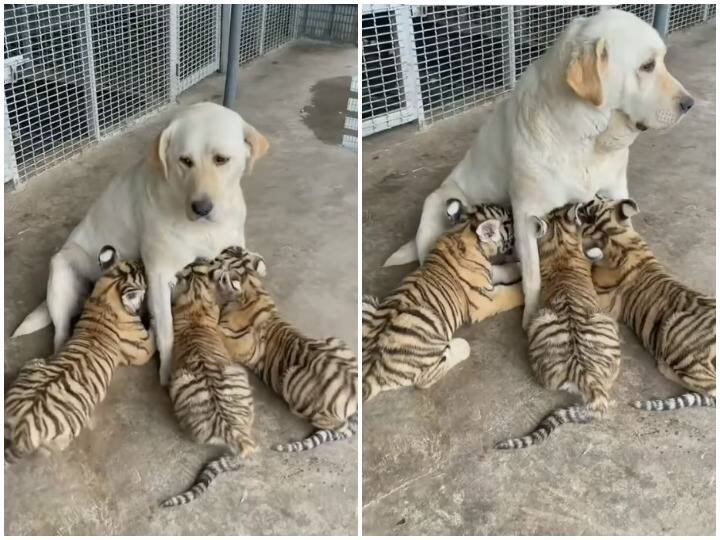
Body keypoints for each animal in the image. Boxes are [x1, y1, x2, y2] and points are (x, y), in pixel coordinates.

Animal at [5, 246, 154, 463]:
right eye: (141, 271)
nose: (143, 259)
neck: (104, 297)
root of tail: (20, 430)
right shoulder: (143, 349)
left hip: (33, 365)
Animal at [213, 246, 358, 453]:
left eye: (220, 260)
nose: (212, 258)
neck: (251, 285)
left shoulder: (235, 343)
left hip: (292, 379)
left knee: (339, 426)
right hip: (335, 340)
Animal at [362, 199, 524, 402]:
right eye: (509, 220)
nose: (515, 214)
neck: (464, 228)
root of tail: (368, 372)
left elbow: (502, 270)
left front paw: (518, 267)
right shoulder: (484, 300)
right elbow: (510, 293)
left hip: (366, 301)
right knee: (426, 378)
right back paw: (459, 346)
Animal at [577, 196, 715, 411]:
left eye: (596, 199)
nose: (579, 204)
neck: (614, 233)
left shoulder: (605, 299)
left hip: (677, 333)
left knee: (710, 389)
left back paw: (664, 367)